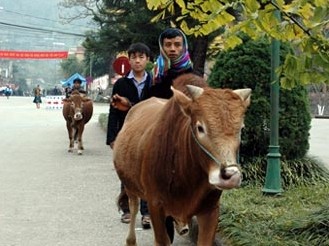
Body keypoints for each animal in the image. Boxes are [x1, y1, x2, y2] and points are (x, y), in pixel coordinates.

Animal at [111, 74, 250, 245]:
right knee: (134, 207)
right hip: (131, 188)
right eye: (200, 127)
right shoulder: (155, 205)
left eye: (241, 129)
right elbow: (162, 239)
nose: (230, 176)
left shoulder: (211, 209)